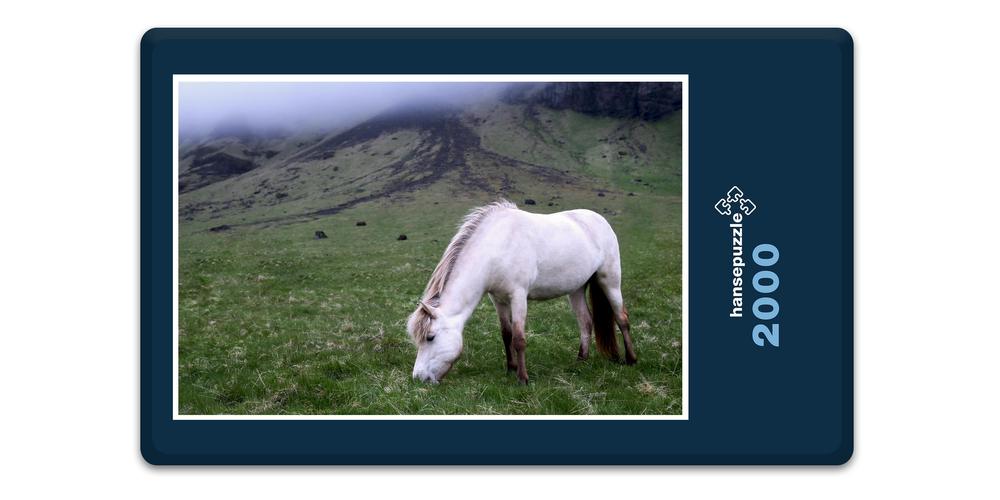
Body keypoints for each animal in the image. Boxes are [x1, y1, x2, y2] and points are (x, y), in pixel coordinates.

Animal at [407, 200, 637, 384]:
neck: (496, 247)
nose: (418, 378)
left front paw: (523, 378)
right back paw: (581, 360)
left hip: (610, 280)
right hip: (576, 289)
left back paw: (631, 359)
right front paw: (511, 368)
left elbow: (518, 339)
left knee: (621, 318)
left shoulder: (518, 296)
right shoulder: (498, 299)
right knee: (586, 321)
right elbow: (506, 334)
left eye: (430, 337)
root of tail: (599, 220)